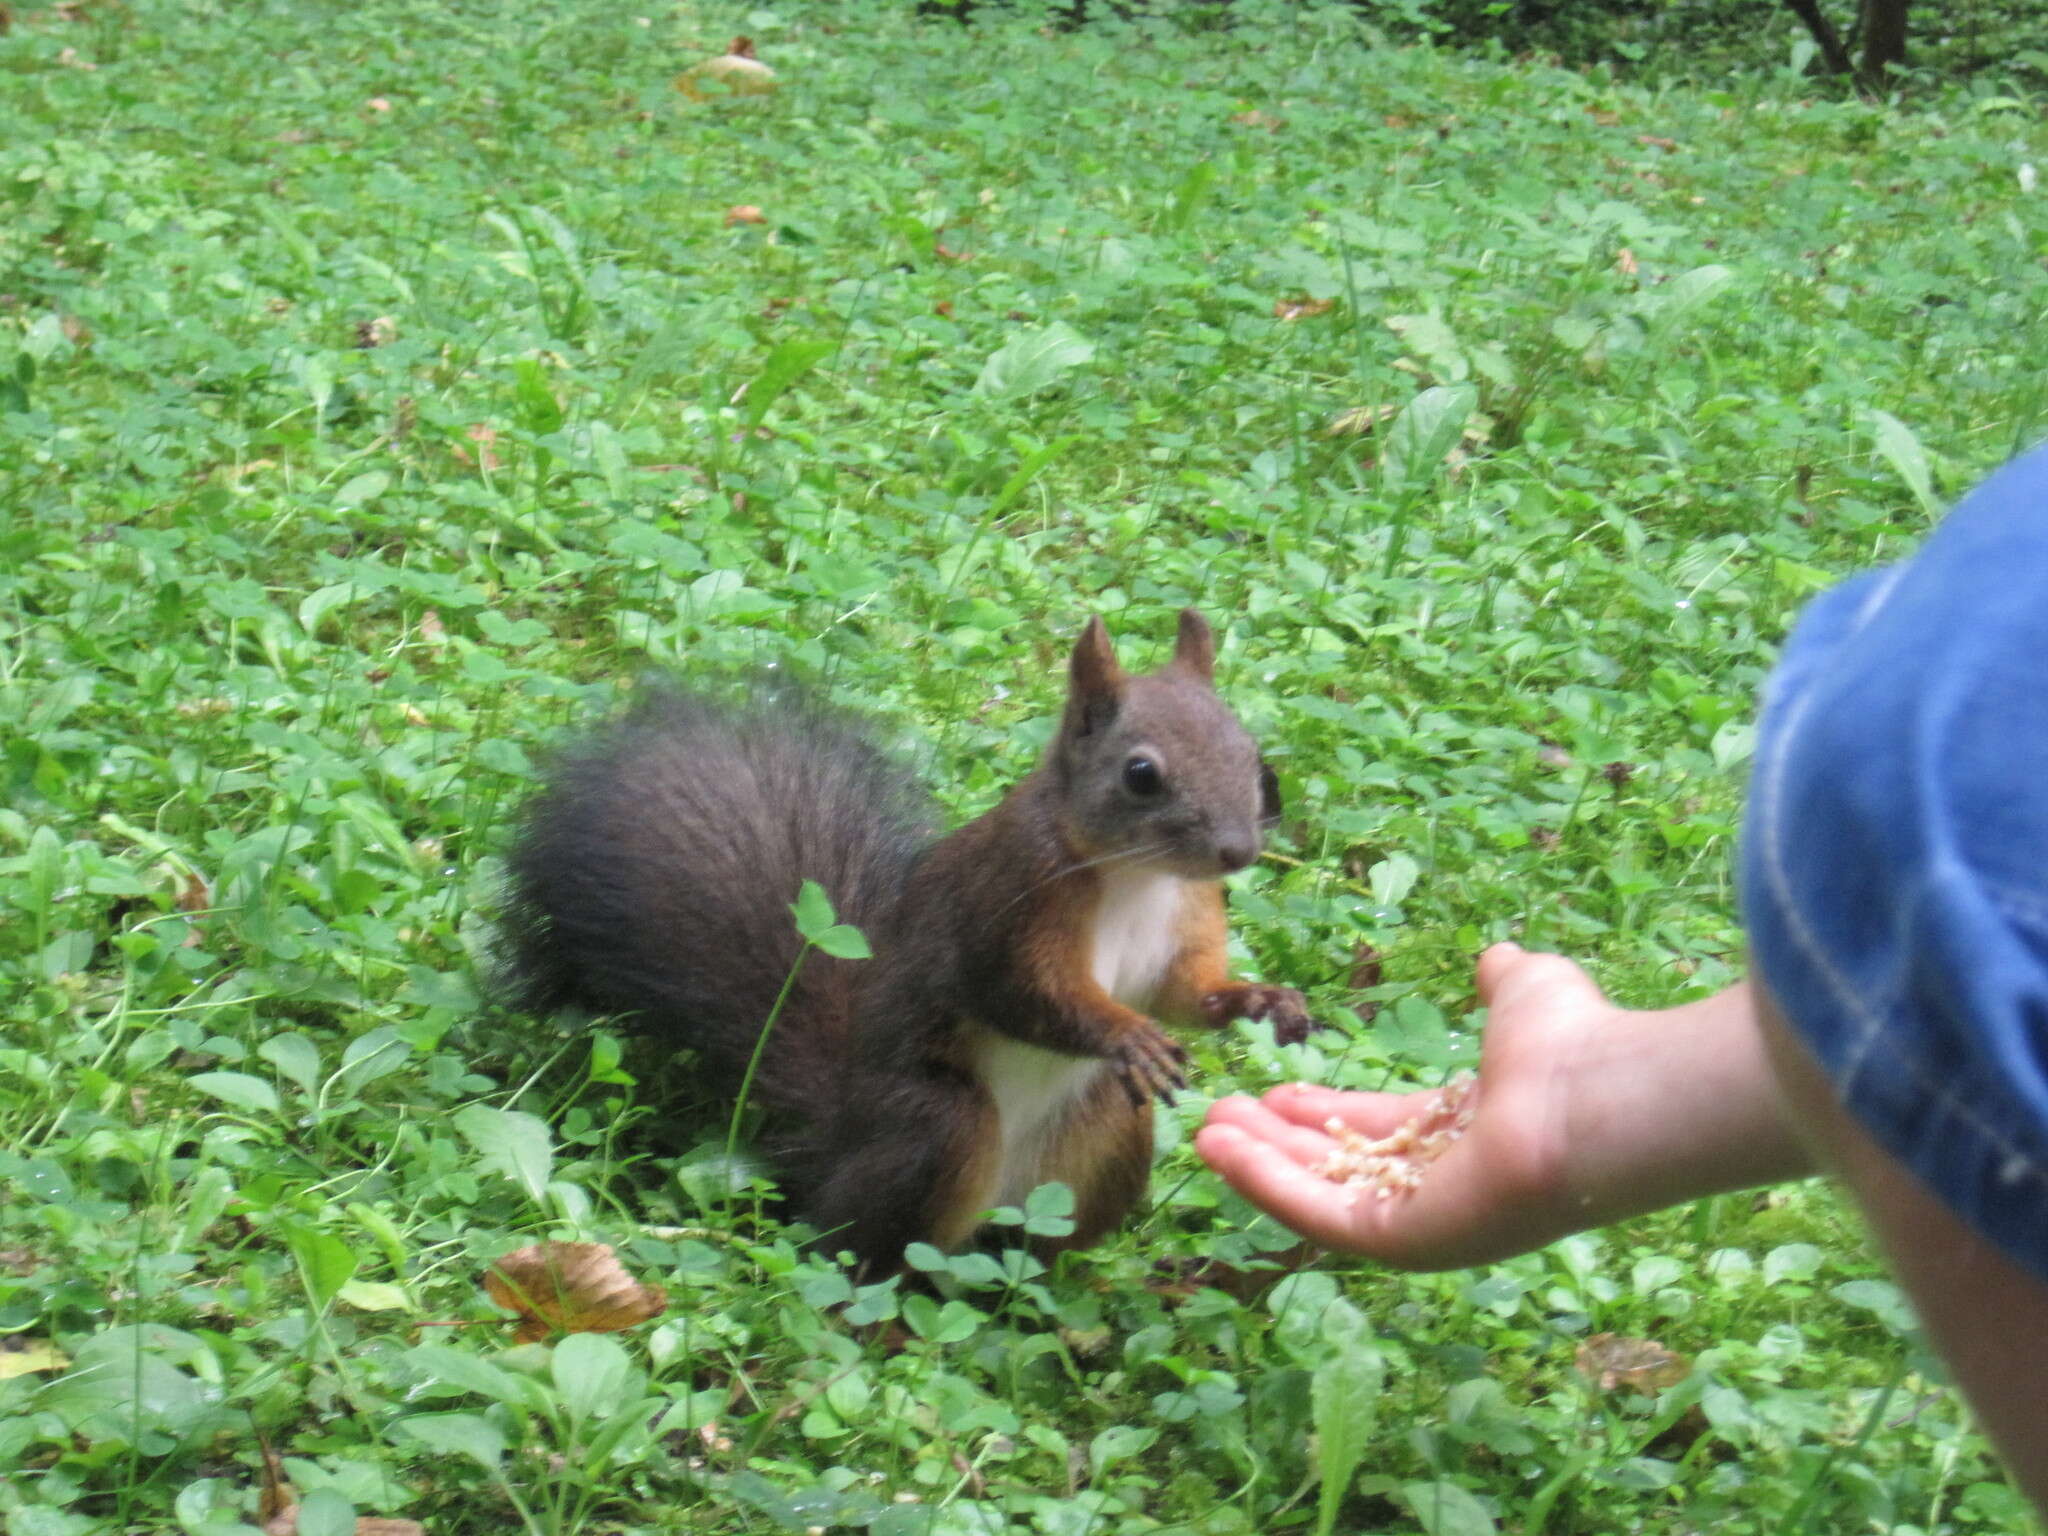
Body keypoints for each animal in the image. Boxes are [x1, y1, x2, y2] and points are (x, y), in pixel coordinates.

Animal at [503, 614, 1318, 1277]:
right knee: (866, 1248)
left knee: (1031, 1251)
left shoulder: (1188, 915)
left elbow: (1185, 994)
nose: (1239, 851)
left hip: (1109, 1130)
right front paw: (1126, 1034)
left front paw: (1260, 999)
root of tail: (838, 1137)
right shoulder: (1010, 904)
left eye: (1257, 761)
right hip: (938, 1129)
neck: (1137, 877)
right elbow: (1025, 994)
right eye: (1141, 774)